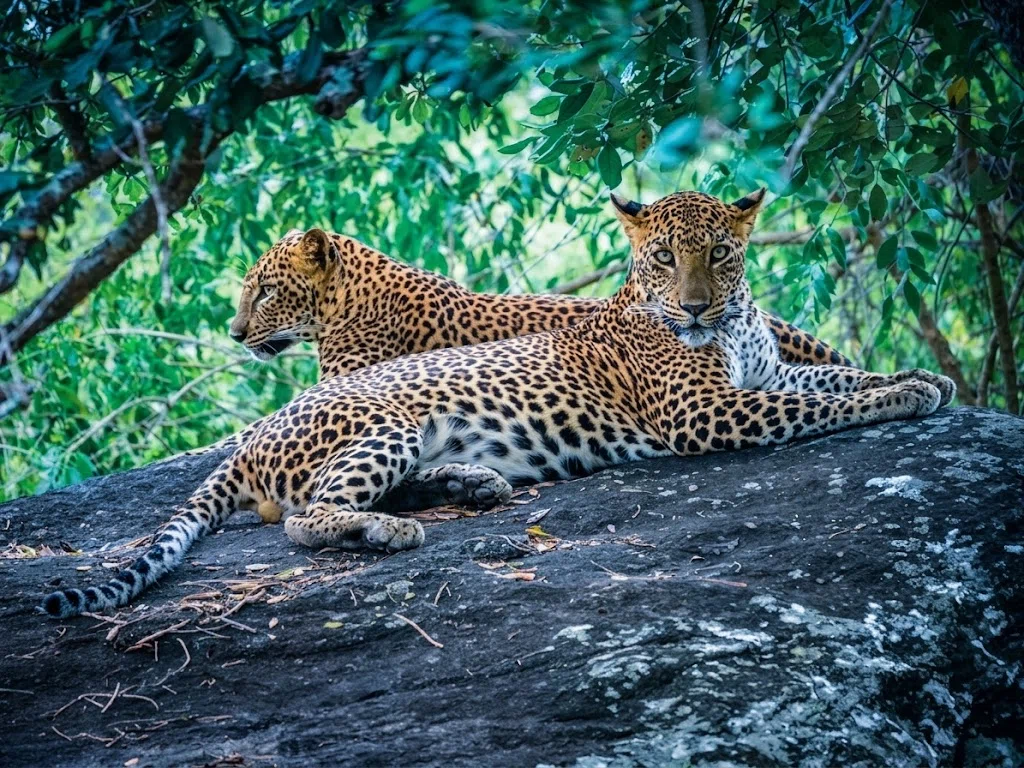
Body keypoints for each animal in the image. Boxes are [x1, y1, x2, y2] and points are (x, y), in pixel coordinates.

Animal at [42, 189, 954, 618]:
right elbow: (821, 409)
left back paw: (472, 485)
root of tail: (248, 440)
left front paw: (918, 377)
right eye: (663, 257)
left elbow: (832, 382)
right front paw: (909, 391)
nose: (696, 307)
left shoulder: (763, 378)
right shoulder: (709, 413)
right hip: (386, 425)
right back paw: (388, 529)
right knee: (308, 517)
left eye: (721, 254)